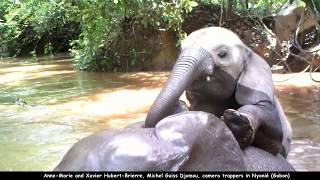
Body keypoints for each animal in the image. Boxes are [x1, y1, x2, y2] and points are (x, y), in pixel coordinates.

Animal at [145, 26, 292, 158]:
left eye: (222, 54)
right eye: (181, 50)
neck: (248, 50)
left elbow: (273, 133)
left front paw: (236, 121)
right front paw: (178, 108)